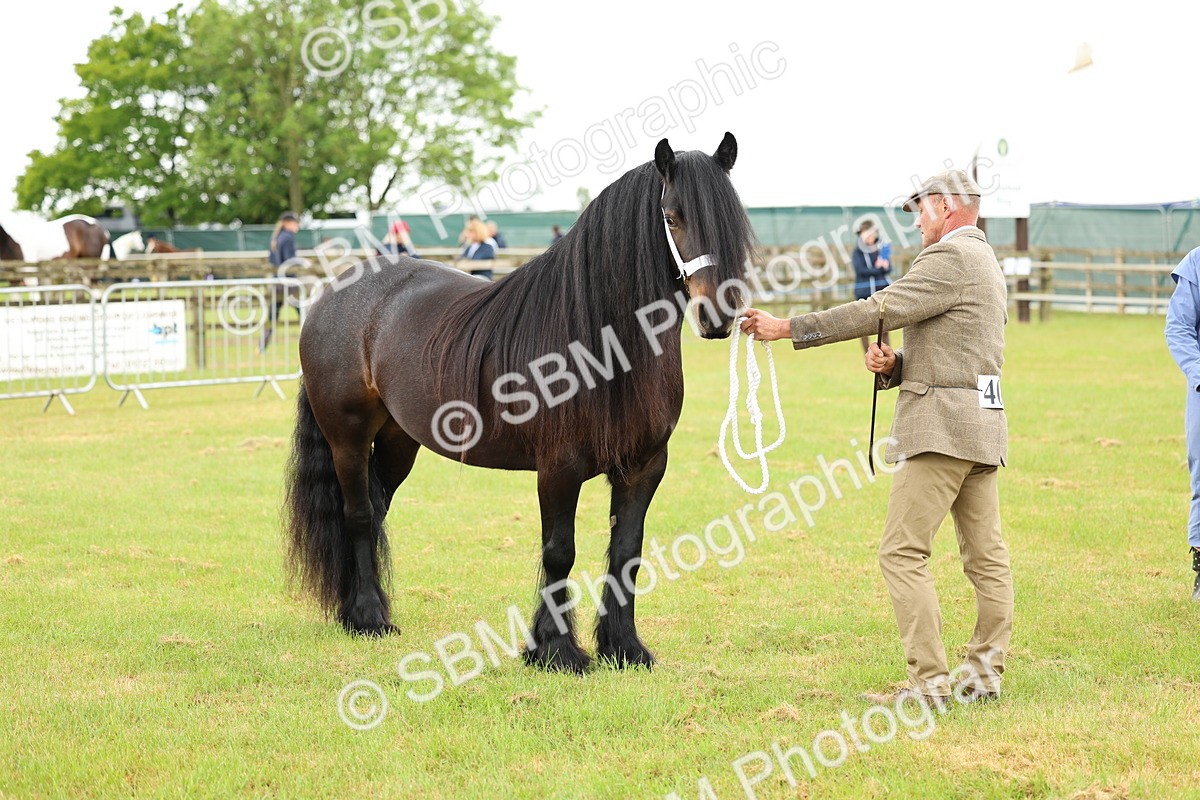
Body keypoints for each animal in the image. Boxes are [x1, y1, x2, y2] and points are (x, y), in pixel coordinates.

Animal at [285, 133, 754, 673]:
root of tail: (334, 292)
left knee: (377, 509)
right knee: (359, 515)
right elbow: (559, 551)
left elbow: (626, 551)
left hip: (399, 441)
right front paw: (555, 650)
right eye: (672, 217)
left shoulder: (644, 466)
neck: (603, 341)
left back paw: (361, 609)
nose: (718, 315)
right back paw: (367, 618)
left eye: (734, 219)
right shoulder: (558, 466)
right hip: (348, 437)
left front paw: (623, 647)